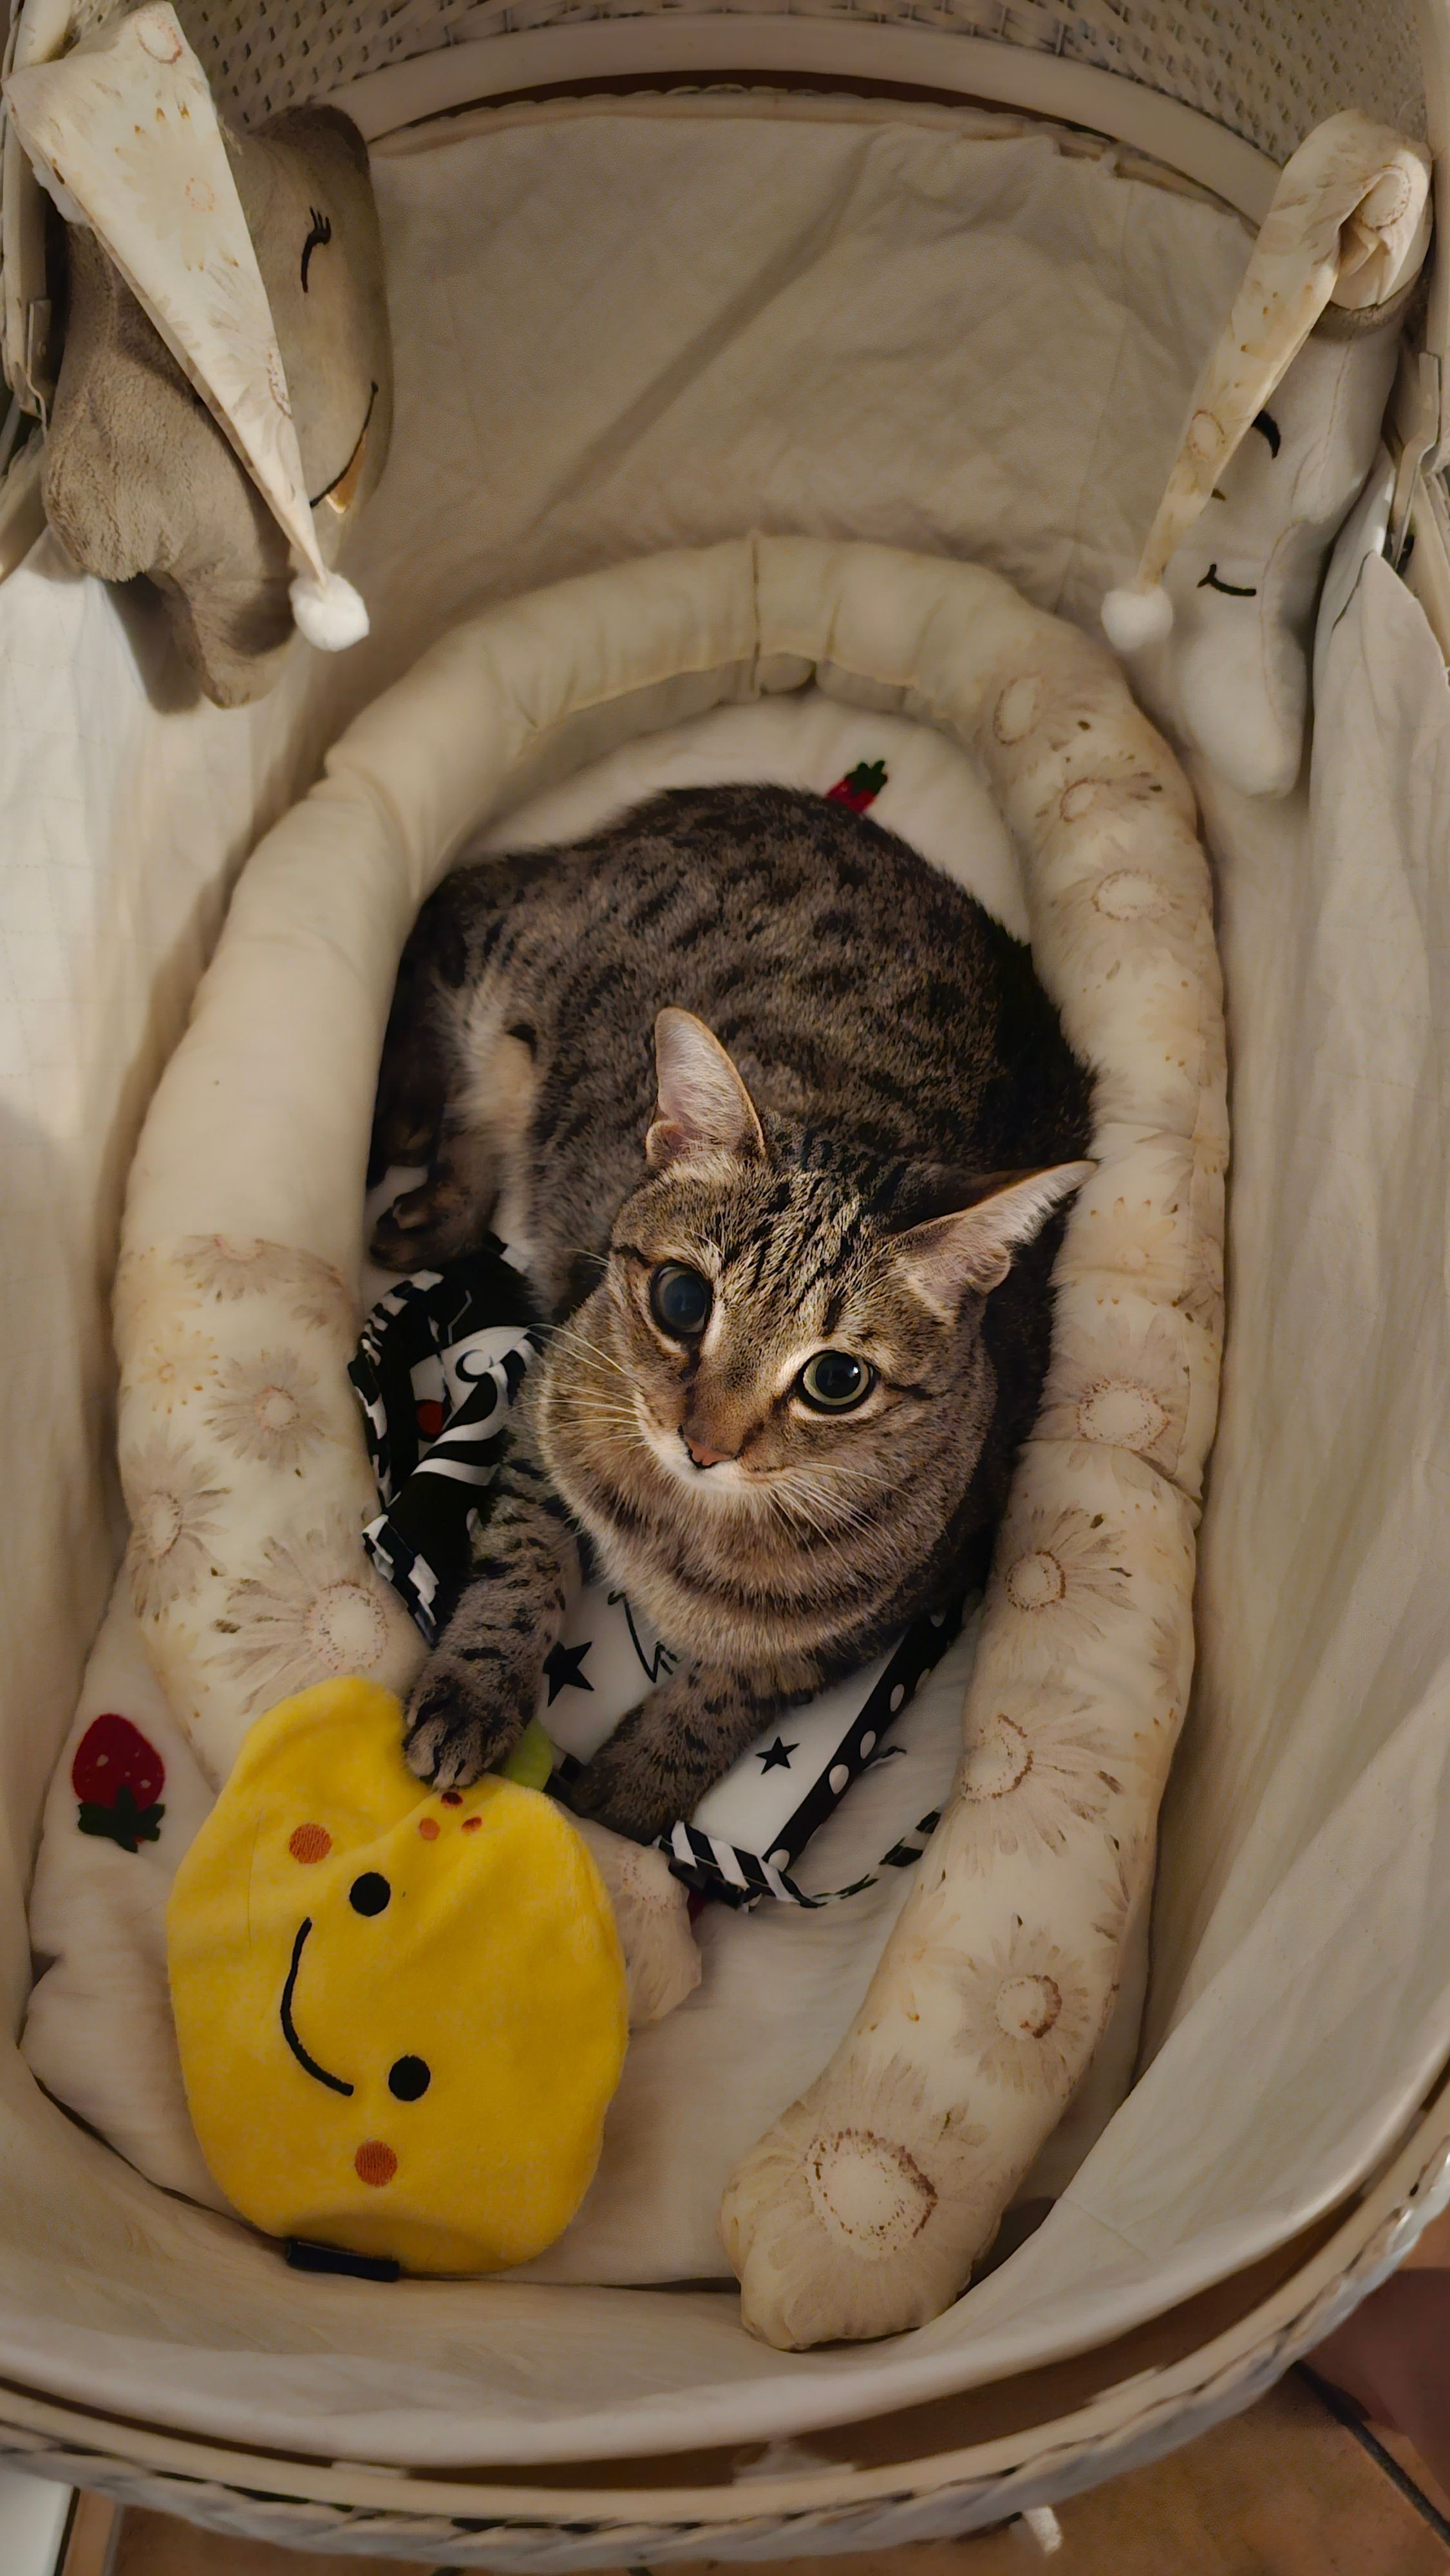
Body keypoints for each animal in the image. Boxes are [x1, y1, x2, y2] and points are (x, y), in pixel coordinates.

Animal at [371, 782, 1093, 1840]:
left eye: (836, 1379)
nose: (703, 1444)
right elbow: (520, 1566)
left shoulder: (878, 1616)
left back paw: (438, 1199)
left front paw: (621, 1806)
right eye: (681, 1301)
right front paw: (473, 1691)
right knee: (448, 906)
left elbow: (716, 1702)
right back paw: (405, 1116)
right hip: (514, 952)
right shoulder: (545, 1410)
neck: (687, 1527)